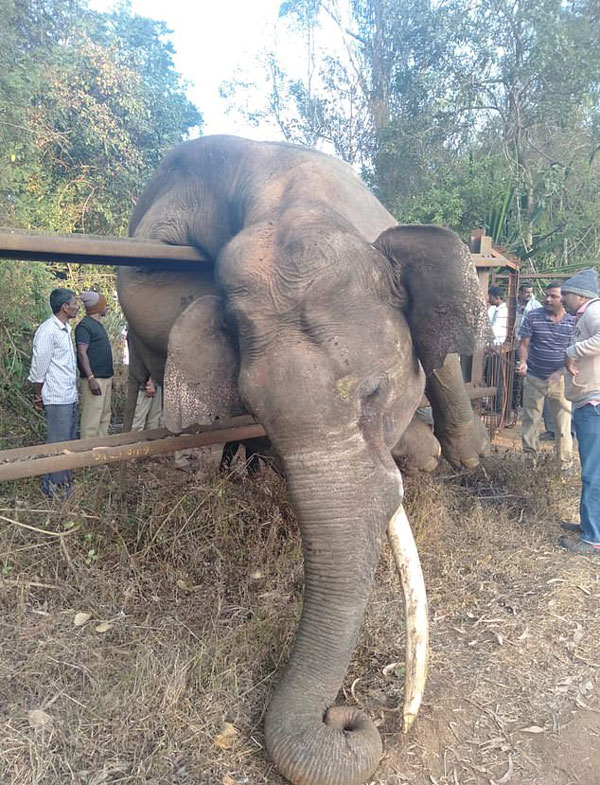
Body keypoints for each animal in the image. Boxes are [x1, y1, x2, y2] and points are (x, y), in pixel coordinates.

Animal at [116, 135, 488, 784]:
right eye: (258, 412)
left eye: (374, 393)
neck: (290, 198)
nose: (346, 717)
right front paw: (424, 452)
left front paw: (457, 454)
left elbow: (439, 360)